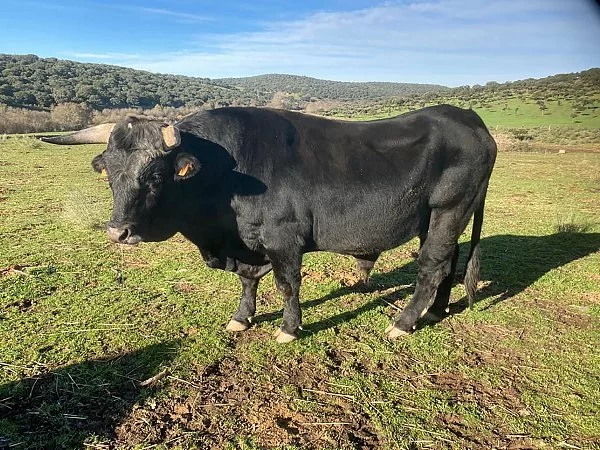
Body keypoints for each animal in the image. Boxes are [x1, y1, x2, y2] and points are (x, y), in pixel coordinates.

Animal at [43, 105, 496, 342]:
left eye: (154, 175)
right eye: (108, 171)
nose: (117, 232)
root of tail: (466, 116)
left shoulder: (283, 238)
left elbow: (286, 285)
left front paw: (289, 328)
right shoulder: (246, 245)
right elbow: (248, 281)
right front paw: (242, 317)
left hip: (449, 210)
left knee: (432, 266)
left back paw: (403, 323)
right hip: (437, 219)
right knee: (448, 262)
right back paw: (434, 312)